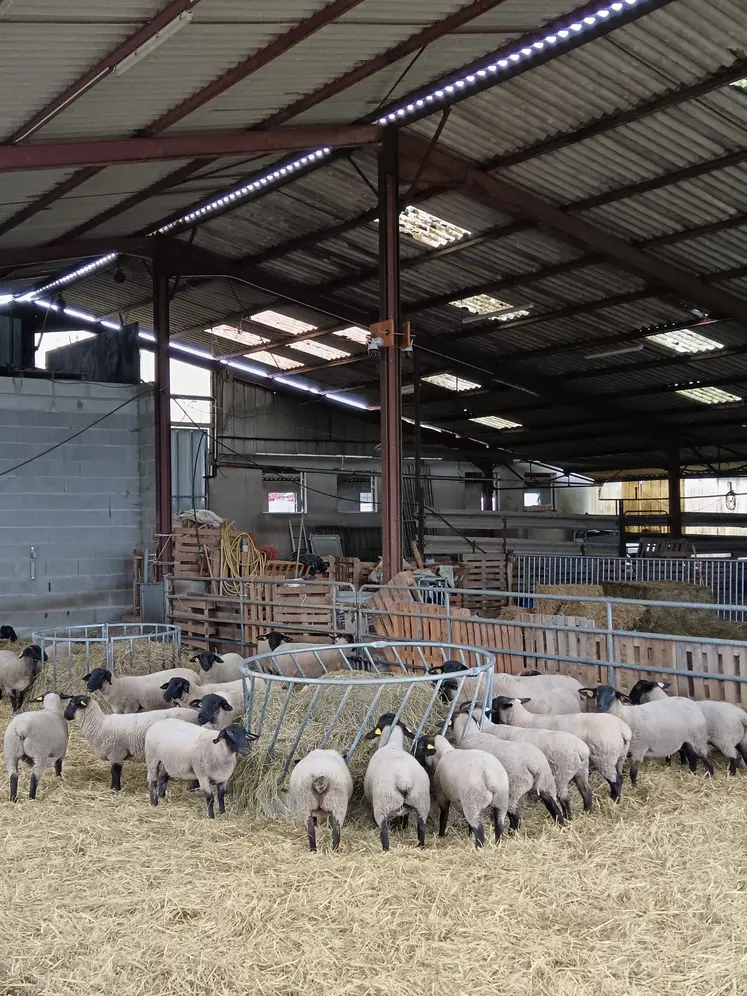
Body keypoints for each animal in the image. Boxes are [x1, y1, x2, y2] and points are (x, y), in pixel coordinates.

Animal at [64, 696, 202, 788]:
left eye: (72, 703)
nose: (65, 715)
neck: (99, 724)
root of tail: (196, 714)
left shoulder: (116, 753)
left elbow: (115, 772)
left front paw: (115, 789)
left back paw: (193, 786)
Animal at [362, 712, 432, 852]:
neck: (392, 744)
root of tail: (404, 779)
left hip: (382, 804)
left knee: (384, 831)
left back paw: (385, 850)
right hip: (422, 802)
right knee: (421, 828)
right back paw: (420, 846)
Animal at [490, 696, 632, 804]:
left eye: (498, 702)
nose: (492, 700)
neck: (522, 719)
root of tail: (623, 730)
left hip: (605, 757)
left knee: (615, 781)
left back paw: (614, 800)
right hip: (619, 757)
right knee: (619, 777)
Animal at [580, 684, 716, 784]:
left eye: (613, 694)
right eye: (597, 693)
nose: (600, 707)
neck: (625, 715)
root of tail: (692, 703)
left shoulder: (639, 749)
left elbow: (633, 773)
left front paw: (634, 787)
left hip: (698, 737)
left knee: (706, 756)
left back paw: (710, 776)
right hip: (686, 740)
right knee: (692, 756)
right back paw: (692, 774)